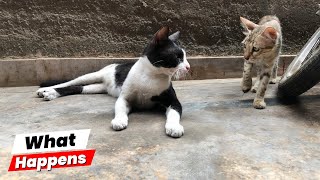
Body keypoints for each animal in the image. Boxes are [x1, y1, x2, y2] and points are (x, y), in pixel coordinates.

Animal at [35, 27, 190, 138]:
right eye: (178, 57)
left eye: (185, 57)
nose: (188, 67)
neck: (151, 76)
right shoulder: (125, 98)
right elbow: (119, 109)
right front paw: (119, 120)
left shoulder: (172, 100)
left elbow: (174, 114)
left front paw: (174, 127)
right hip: (93, 75)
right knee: (70, 82)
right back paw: (46, 90)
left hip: (97, 88)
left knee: (78, 87)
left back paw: (51, 93)